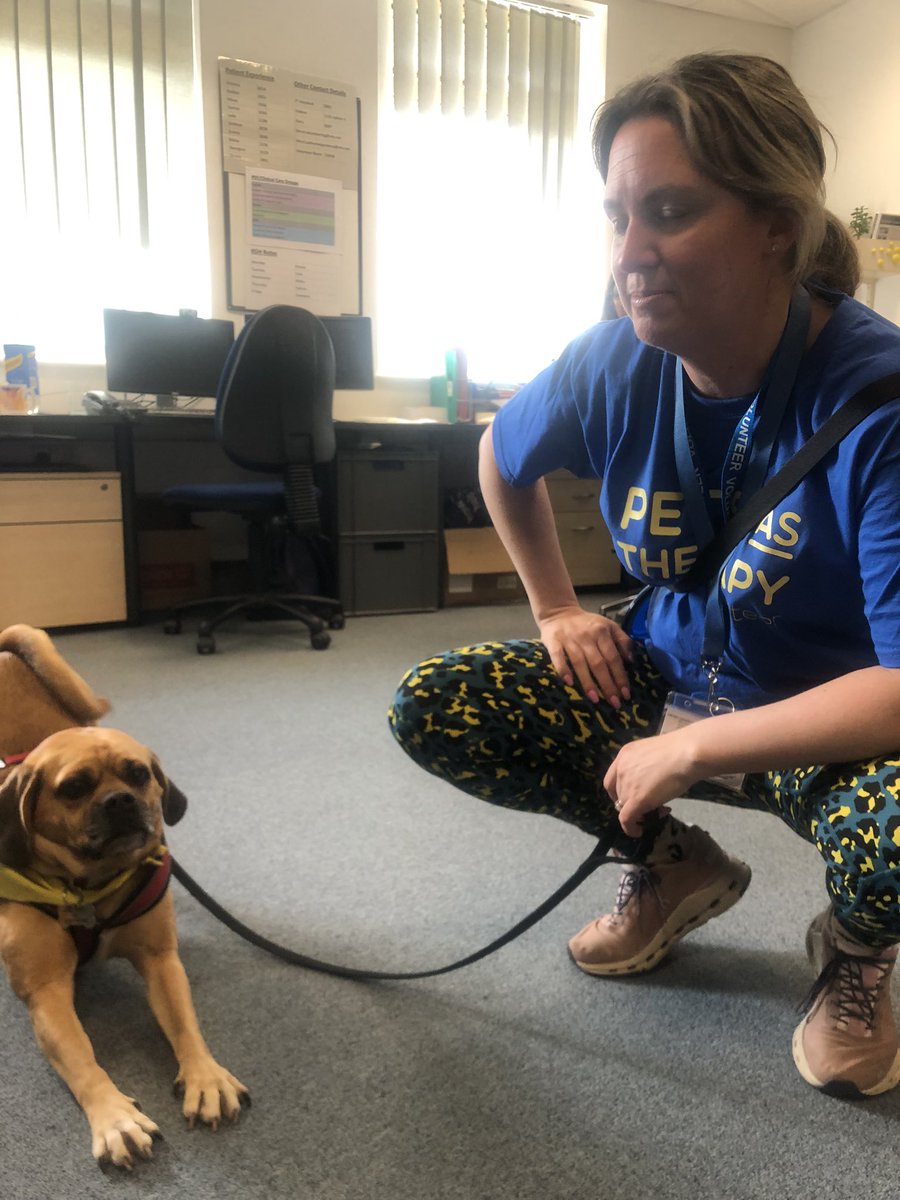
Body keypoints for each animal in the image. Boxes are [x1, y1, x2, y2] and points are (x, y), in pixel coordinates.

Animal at [0, 624, 248, 1166]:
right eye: (74, 787)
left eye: (138, 773)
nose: (121, 801)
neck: (90, 885)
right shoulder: (47, 991)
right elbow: (82, 1058)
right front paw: (113, 1116)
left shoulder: (160, 959)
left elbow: (185, 1024)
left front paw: (205, 1075)